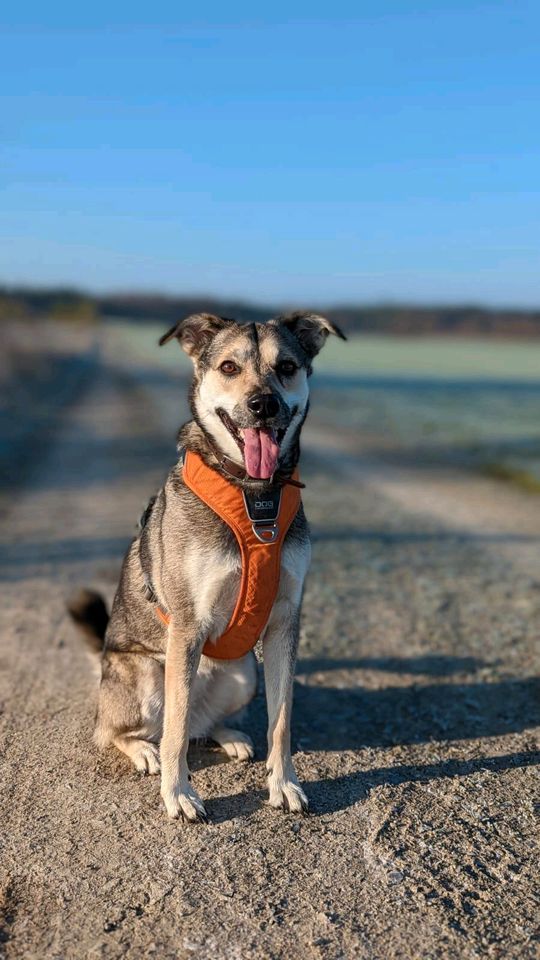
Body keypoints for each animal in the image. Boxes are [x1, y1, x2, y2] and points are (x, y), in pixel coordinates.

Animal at [68, 312, 346, 820]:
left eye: (288, 366)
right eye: (229, 367)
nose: (263, 405)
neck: (255, 494)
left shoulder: (285, 623)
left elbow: (282, 720)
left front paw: (284, 784)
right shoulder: (188, 625)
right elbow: (175, 731)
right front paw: (178, 795)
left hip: (244, 672)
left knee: (201, 723)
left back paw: (230, 736)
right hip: (147, 674)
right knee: (127, 729)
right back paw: (144, 750)